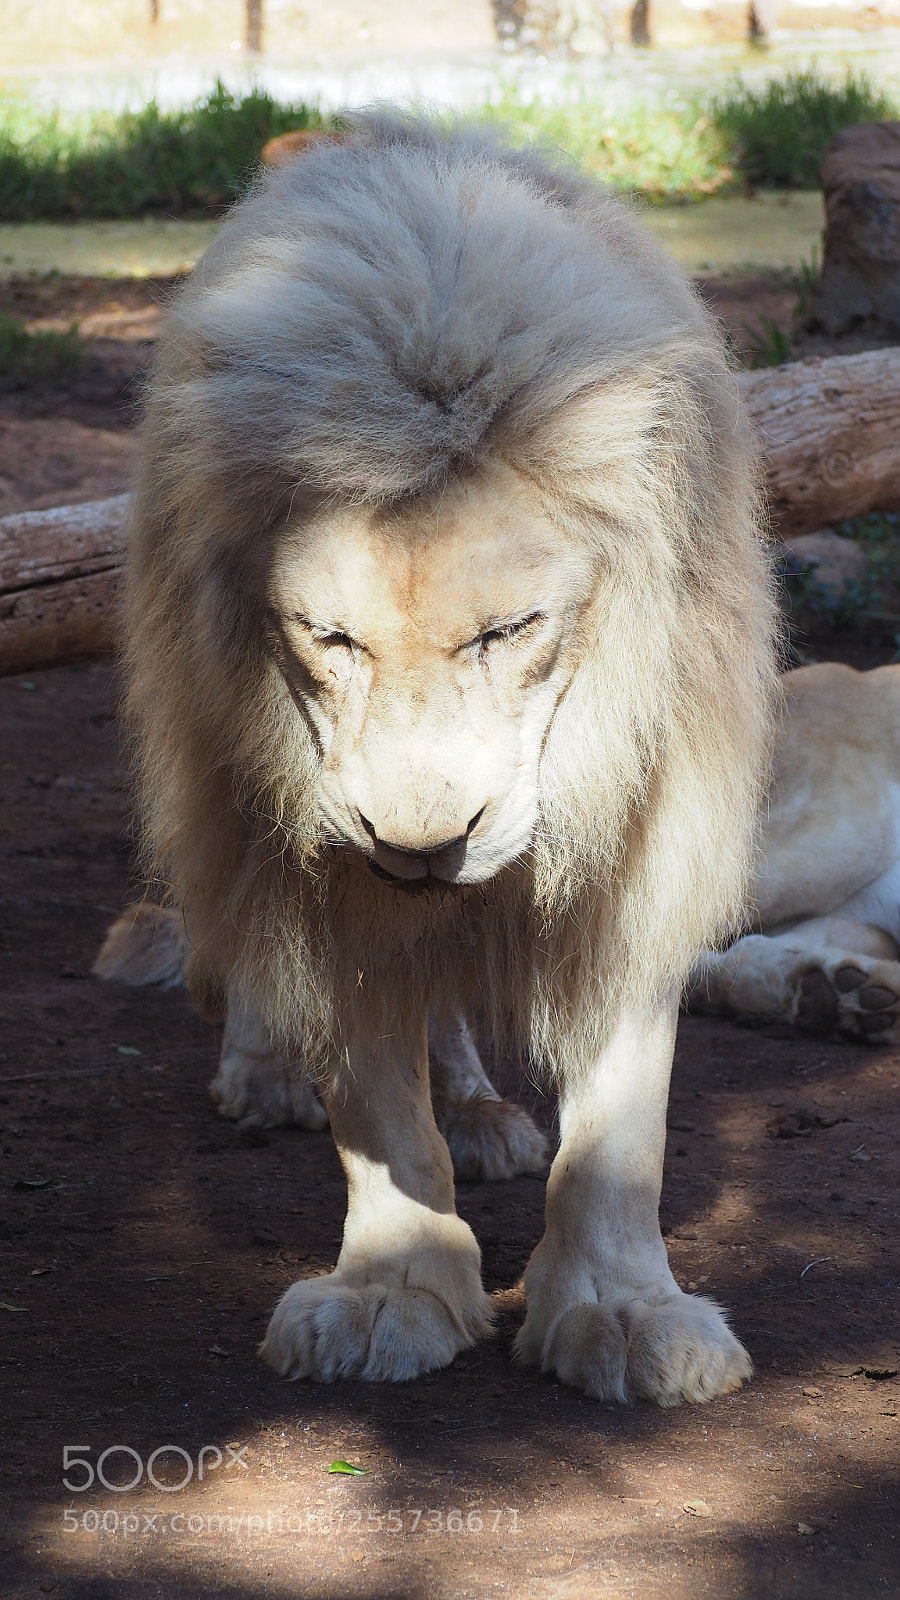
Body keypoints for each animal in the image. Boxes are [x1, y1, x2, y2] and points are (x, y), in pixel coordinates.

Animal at [110, 116, 777, 1403]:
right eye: (329, 639)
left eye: (508, 631)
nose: (421, 845)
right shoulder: (328, 866)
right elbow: (375, 1102)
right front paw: (393, 1289)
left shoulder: (646, 835)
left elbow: (621, 1125)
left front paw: (619, 1311)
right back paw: (269, 1068)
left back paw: (476, 1105)